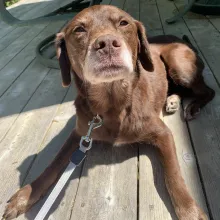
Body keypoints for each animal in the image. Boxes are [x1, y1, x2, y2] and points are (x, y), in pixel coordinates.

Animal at [2, 4, 214, 220]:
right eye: (79, 29)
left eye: (124, 22)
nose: (108, 44)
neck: (113, 103)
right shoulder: (80, 134)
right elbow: (54, 162)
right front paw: (25, 196)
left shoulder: (163, 134)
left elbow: (173, 174)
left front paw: (189, 210)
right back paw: (172, 100)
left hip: (179, 64)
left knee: (208, 90)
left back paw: (191, 106)